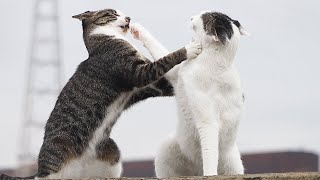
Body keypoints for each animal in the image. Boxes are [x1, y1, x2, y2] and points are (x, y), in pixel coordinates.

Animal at [131, 10, 249, 176]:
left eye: (204, 15)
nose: (192, 16)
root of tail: (196, 171)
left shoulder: (208, 123)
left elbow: (209, 152)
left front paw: (210, 174)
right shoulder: (174, 74)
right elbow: (160, 51)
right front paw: (137, 29)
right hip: (166, 151)